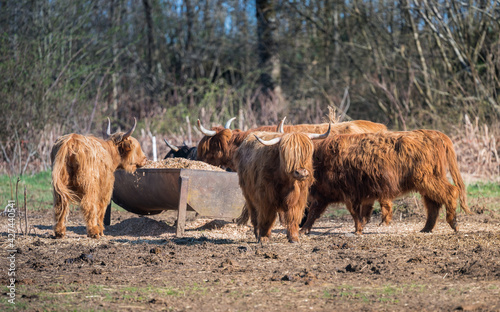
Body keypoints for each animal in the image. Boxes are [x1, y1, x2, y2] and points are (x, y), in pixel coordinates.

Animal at [298, 129, 470, 234]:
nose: (299, 172)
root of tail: (434, 134)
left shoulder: (348, 192)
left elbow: (354, 212)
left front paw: (358, 230)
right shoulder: (326, 194)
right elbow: (314, 212)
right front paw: (304, 230)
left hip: (427, 178)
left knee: (450, 192)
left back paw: (453, 223)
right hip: (428, 180)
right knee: (433, 203)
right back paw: (426, 228)